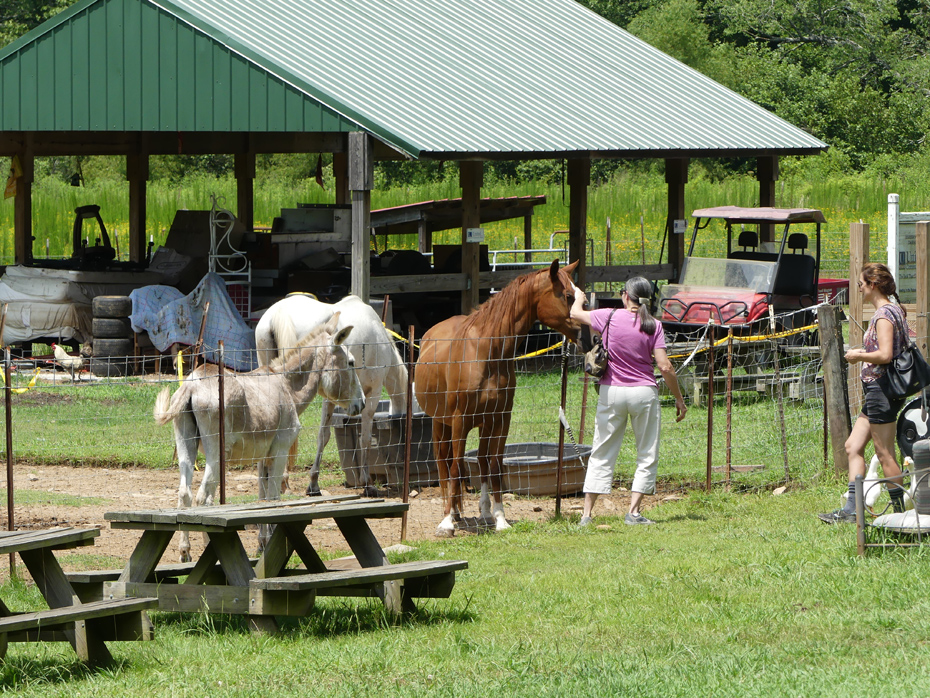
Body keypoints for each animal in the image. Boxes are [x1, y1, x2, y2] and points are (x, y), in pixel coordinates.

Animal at [154, 312, 364, 560]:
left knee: (185, 493)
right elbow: (273, 498)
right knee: (203, 497)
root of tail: (191, 386)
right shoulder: (281, 450)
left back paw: (185, 552)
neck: (287, 386)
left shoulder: (262, 456)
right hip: (216, 454)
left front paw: (263, 543)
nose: (361, 404)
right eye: (351, 363)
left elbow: (261, 497)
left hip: (186, 444)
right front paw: (274, 543)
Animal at [258, 292, 410, 494]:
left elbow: (324, 436)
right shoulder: (373, 392)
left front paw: (313, 483)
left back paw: (282, 481)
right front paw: (367, 483)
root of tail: (278, 312)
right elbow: (365, 438)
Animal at [416, 258, 580, 536]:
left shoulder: (501, 419)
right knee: (444, 462)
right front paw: (446, 523)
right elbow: (456, 466)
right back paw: (450, 514)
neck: (485, 351)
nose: (586, 332)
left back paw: (479, 512)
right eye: (568, 296)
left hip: (483, 424)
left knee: (481, 460)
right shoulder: (460, 420)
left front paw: (500, 519)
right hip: (441, 422)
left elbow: (494, 466)